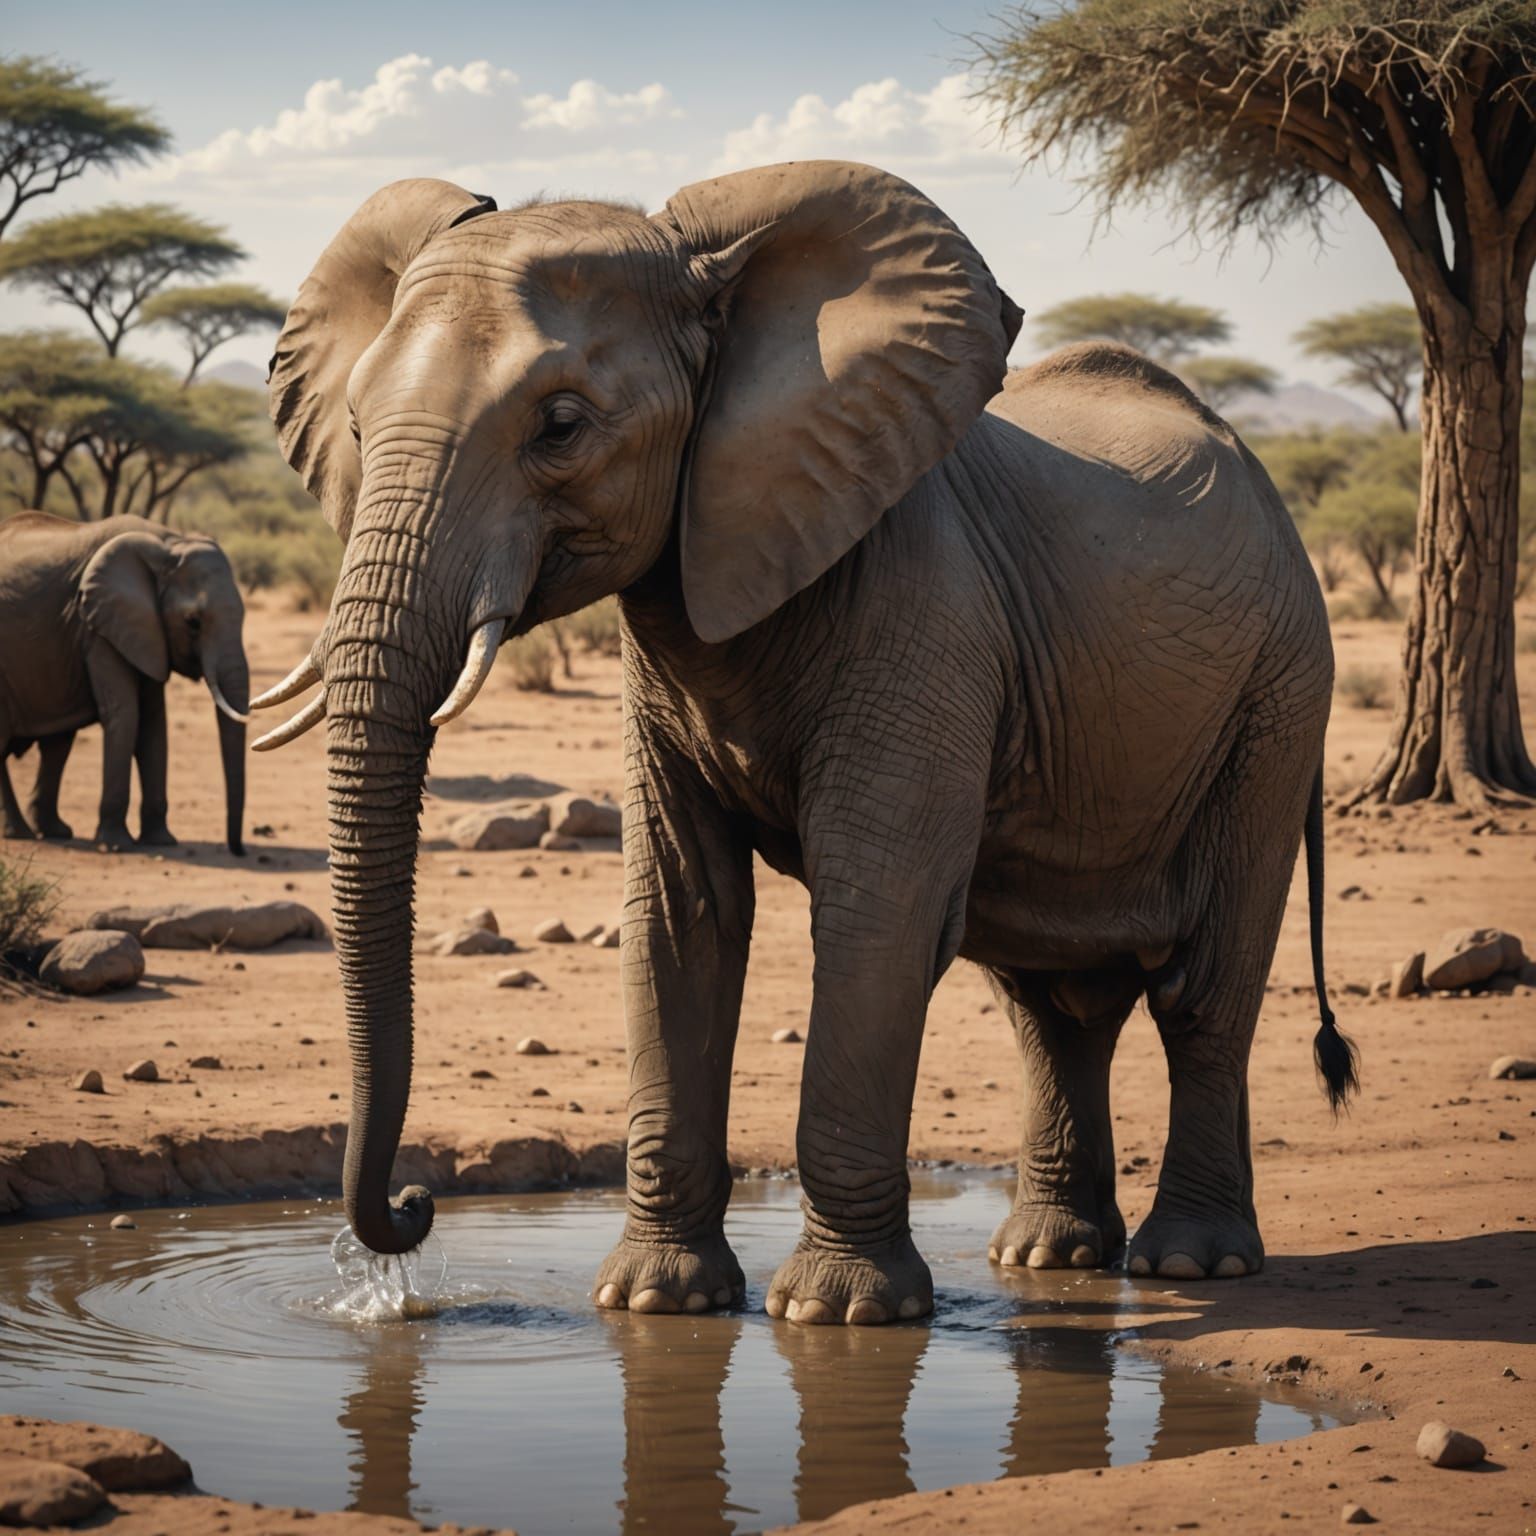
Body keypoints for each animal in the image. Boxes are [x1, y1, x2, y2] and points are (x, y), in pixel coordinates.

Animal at [0, 512, 249, 855]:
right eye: (193, 622)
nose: (239, 851)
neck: (168, 542)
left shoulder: (145, 631)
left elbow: (153, 723)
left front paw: (161, 841)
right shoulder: (98, 627)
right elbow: (127, 715)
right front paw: (116, 845)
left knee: (57, 743)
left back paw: (55, 832)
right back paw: (19, 833)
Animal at [250, 160, 1355, 1322]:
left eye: (560, 425)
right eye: (358, 426)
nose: (411, 1214)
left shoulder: (928, 614)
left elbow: (878, 916)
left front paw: (840, 1313)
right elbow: (680, 919)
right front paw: (656, 1302)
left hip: (1280, 695)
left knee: (1202, 986)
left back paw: (1191, 1265)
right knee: (1051, 1009)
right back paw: (1048, 1258)